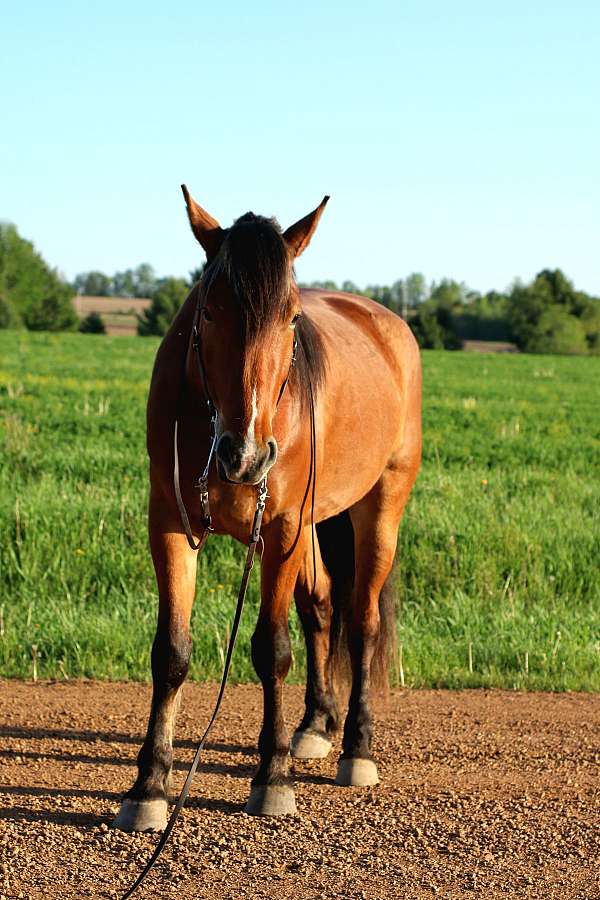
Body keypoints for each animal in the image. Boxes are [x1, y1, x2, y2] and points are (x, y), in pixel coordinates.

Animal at [113, 187, 421, 831]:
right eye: (208, 313)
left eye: (292, 318)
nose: (247, 455)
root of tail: (387, 322)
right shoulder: (170, 523)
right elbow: (171, 651)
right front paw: (149, 785)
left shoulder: (279, 529)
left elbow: (271, 649)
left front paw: (272, 777)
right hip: (313, 523)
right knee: (322, 607)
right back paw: (315, 725)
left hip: (379, 507)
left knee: (363, 619)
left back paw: (356, 747)